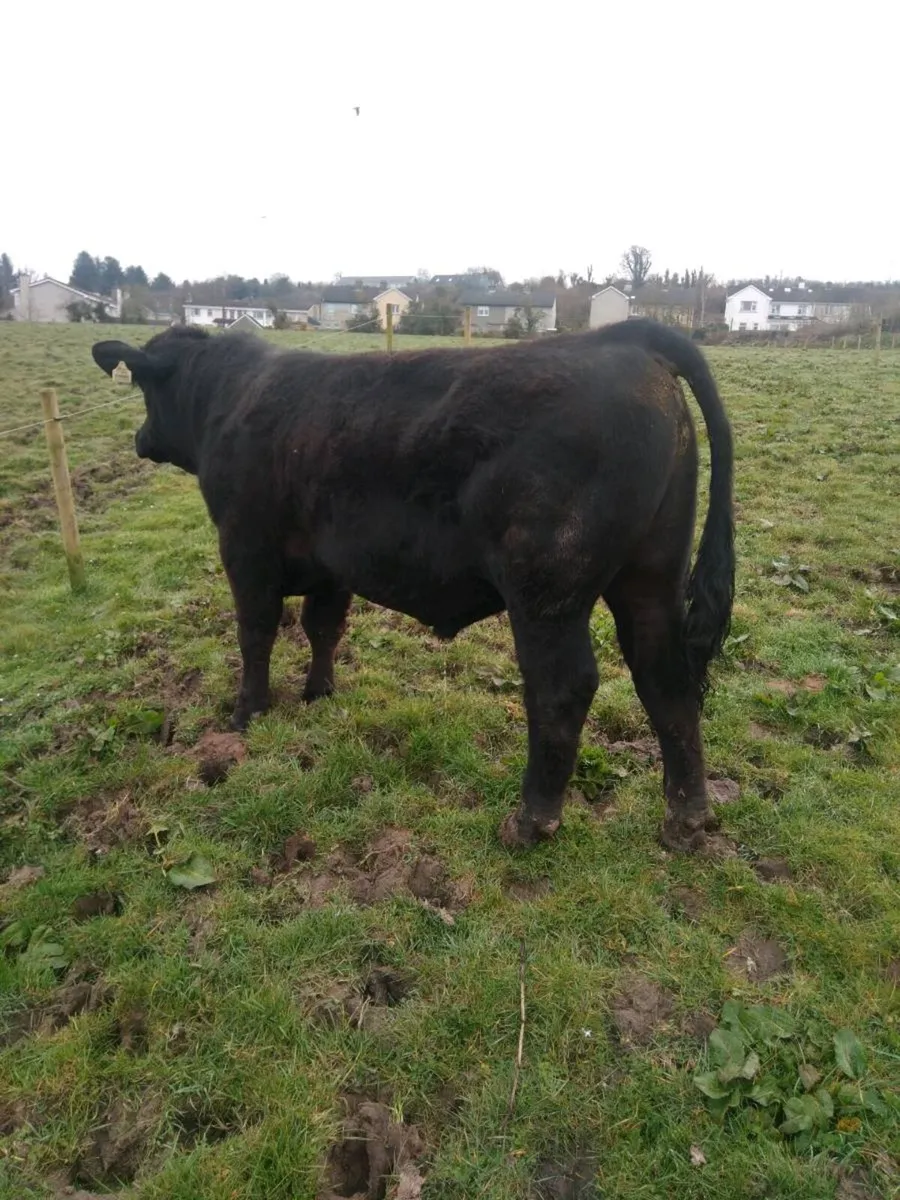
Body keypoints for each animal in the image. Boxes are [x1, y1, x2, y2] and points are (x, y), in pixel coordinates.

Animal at [91, 319, 734, 853]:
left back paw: (530, 822)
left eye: (143, 387)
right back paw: (686, 821)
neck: (230, 397)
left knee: (563, 691)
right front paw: (319, 694)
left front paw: (246, 714)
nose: (140, 439)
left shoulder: (245, 546)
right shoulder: (332, 562)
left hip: (547, 593)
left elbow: (256, 633)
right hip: (651, 576)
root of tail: (624, 338)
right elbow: (323, 628)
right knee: (666, 681)